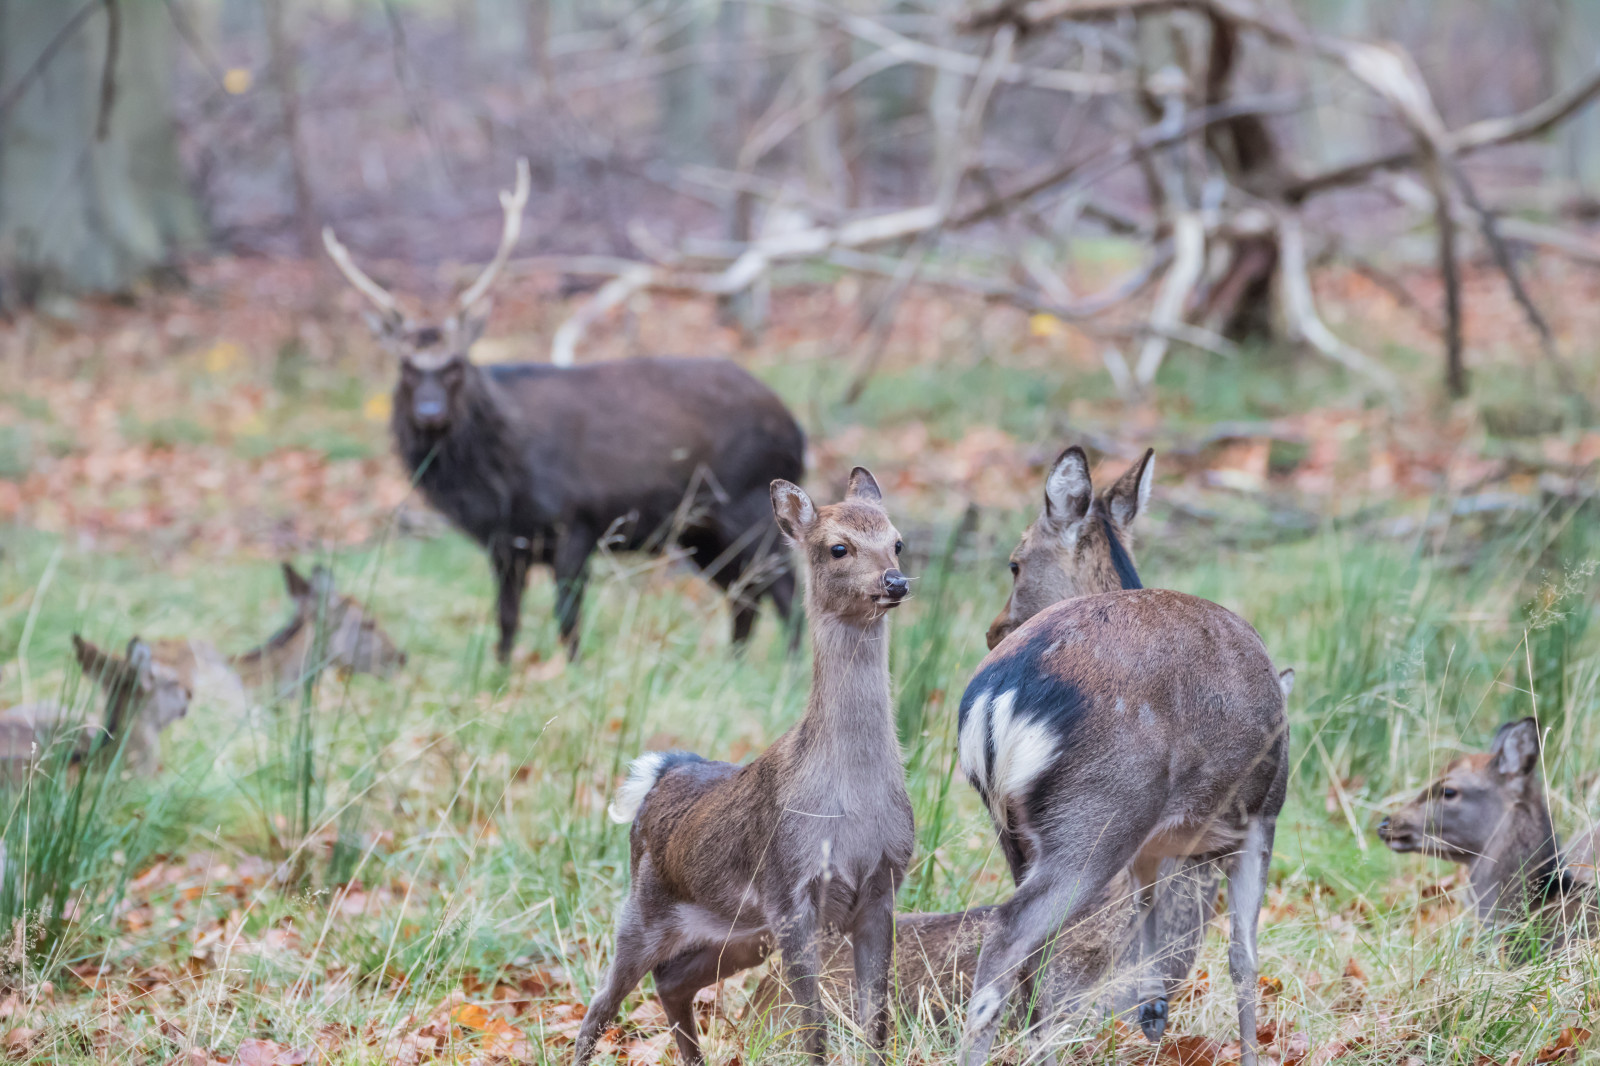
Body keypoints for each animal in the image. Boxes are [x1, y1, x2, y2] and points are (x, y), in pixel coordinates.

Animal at [323, 161, 806, 665]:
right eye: (406, 367)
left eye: (455, 364)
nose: (429, 411)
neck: (501, 483)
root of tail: (796, 431)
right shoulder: (504, 544)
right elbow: (506, 617)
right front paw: (501, 671)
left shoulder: (577, 522)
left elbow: (567, 617)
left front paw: (570, 670)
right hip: (698, 531)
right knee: (745, 594)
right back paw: (734, 665)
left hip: (748, 503)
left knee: (786, 590)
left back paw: (790, 668)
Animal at [574, 469, 914, 1066]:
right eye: (838, 547)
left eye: (897, 541)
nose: (895, 582)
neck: (852, 802)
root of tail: (662, 774)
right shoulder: (789, 889)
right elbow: (814, 1026)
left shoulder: (882, 886)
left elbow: (876, 1023)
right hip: (644, 911)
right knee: (601, 1003)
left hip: (736, 932)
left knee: (672, 980)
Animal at [955, 445, 1292, 1066]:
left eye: (1013, 564)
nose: (992, 630)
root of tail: (998, 694)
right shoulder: (1264, 812)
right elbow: (1243, 957)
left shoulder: (1153, 846)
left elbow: (1151, 933)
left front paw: (1155, 1017)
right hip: (1100, 810)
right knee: (1009, 934)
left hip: (1019, 829)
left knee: (1033, 953)